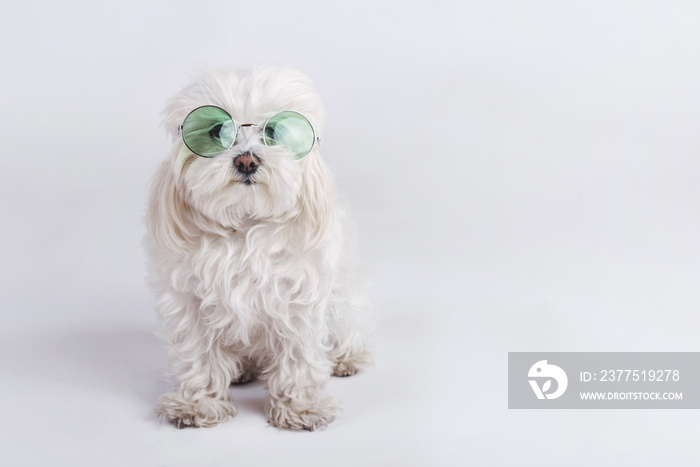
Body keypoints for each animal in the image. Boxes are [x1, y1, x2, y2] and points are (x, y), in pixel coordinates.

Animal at [146, 66, 372, 432]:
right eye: (216, 131)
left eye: (276, 133)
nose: (247, 161)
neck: (244, 225)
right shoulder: (189, 301)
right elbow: (198, 354)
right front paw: (197, 403)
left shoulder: (298, 297)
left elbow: (299, 355)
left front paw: (301, 406)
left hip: (344, 304)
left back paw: (346, 358)